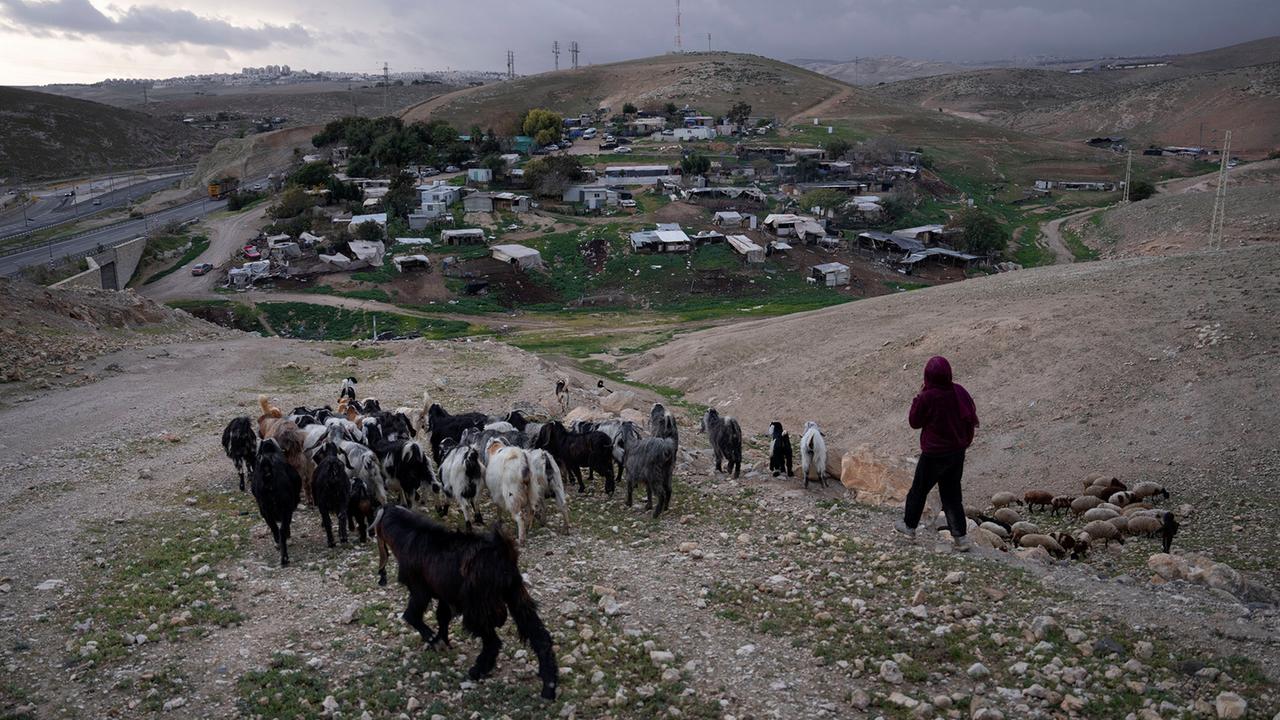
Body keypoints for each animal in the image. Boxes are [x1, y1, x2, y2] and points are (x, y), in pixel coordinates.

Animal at [249, 438, 302, 566]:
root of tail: (268, 474)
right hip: (285, 509)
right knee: (282, 529)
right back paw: (284, 555)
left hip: (265, 510)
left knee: (274, 527)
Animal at [378, 504, 560, 696]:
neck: (408, 534)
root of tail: (501, 552)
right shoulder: (444, 594)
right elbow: (442, 617)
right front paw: (442, 641)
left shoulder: (420, 590)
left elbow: (411, 615)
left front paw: (434, 641)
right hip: (515, 596)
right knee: (540, 637)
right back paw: (549, 687)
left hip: (477, 608)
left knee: (493, 642)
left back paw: (477, 670)